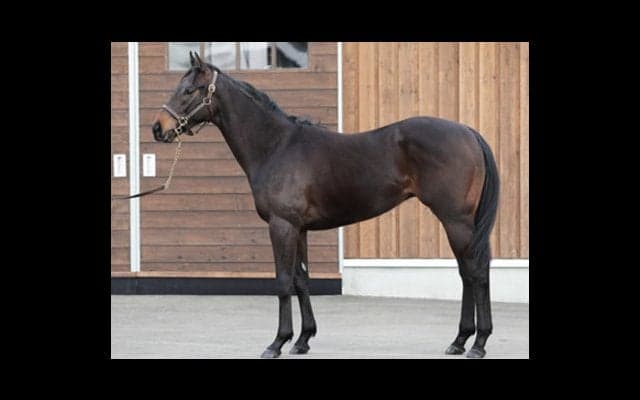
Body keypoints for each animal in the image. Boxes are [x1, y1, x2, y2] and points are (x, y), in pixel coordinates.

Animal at [152, 52, 499, 359]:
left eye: (188, 90)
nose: (158, 128)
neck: (276, 146)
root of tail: (468, 132)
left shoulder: (282, 226)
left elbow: (282, 281)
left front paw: (277, 343)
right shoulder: (299, 229)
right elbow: (301, 280)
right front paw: (303, 340)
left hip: (456, 220)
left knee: (475, 271)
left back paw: (479, 343)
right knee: (467, 272)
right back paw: (460, 341)